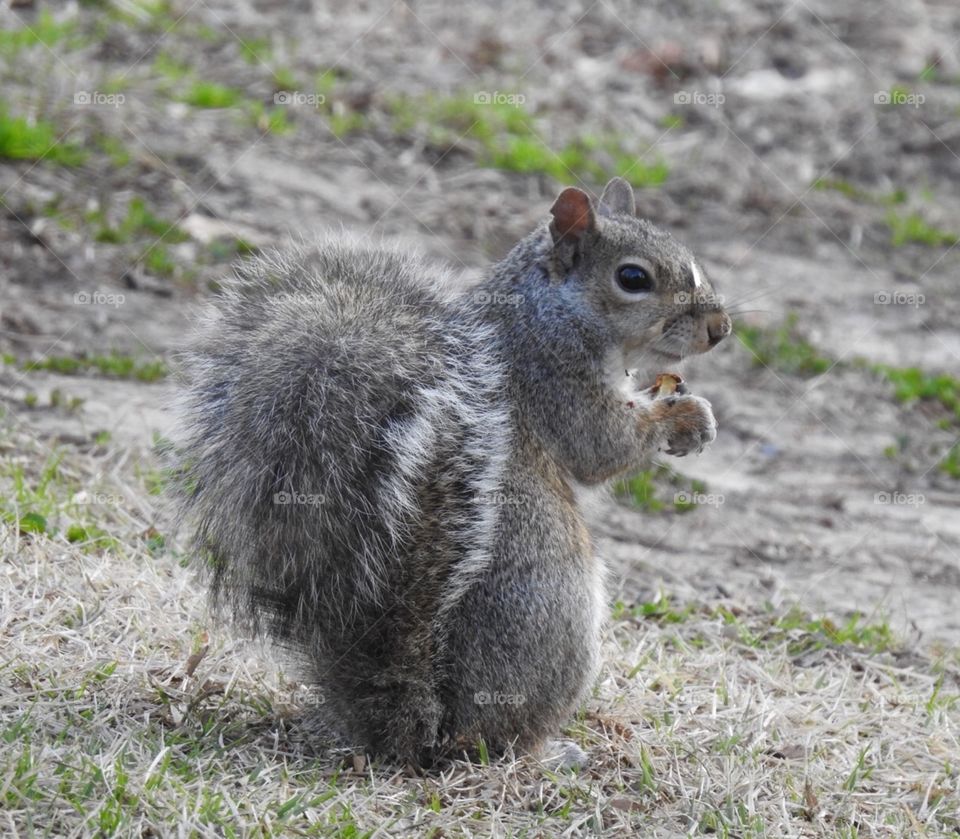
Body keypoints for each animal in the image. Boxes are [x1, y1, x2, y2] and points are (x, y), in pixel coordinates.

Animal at [172, 177, 731, 768]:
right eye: (633, 278)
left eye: (693, 265)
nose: (720, 329)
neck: (548, 308)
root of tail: (424, 730)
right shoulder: (551, 375)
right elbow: (601, 446)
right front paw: (687, 419)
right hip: (555, 607)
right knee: (499, 742)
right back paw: (546, 753)